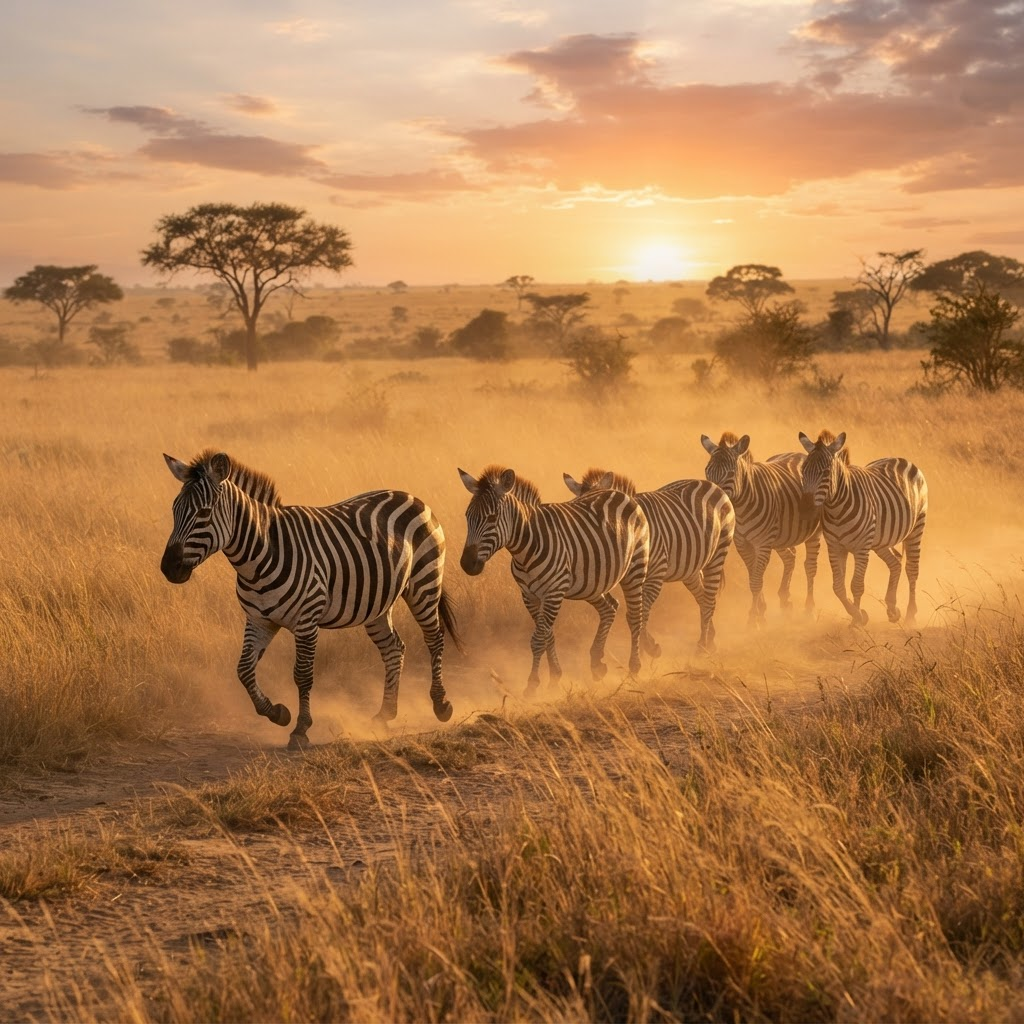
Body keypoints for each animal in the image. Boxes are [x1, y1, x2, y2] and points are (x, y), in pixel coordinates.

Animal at [161, 449, 461, 749]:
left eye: (204, 513)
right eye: (174, 510)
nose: (168, 568)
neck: (260, 556)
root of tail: (411, 496)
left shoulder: (307, 620)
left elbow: (302, 674)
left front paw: (300, 728)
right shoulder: (259, 619)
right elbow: (244, 670)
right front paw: (277, 713)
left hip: (424, 583)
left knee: (434, 638)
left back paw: (441, 704)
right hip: (377, 604)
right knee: (394, 648)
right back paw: (385, 714)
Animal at [458, 465, 649, 694]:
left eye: (492, 518)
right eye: (467, 516)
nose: (467, 564)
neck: (526, 549)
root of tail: (618, 493)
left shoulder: (553, 592)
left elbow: (538, 639)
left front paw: (532, 685)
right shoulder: (529, 596)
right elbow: (547, 635)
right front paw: (555, 677)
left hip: (634, 568)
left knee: (635, 616)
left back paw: (634, 669)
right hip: (591, 583)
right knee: (610, 608)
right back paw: (597, 664)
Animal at [563, 469, 734, 653]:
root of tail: (709, 483)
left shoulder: (655, 574)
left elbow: (642, 612)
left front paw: (648, 647)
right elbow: (634, 612)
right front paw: (648, 646)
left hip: (718, 552)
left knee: (709, 599)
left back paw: (702, 646)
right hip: (690, 567)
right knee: (702, 597)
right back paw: (710, 638)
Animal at [701, 432, 822, 626]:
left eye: (731, 473)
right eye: (707, 471)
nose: (712, 501)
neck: (742, 510)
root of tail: (800, 454)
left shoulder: (763, 544)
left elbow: (757, 580)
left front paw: (753, 619)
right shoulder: (742, 544)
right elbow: (753, 577)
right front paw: (761, 611)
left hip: (813, 532)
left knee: (810, 566)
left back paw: (809, 609)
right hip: (782, 535)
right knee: (790, 557)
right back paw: (785, 598)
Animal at [797, 430, 928, 626]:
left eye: (826, 472)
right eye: (803, 471)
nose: (805, 509)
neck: (836, 510)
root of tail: (900, 458)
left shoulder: (861, 549)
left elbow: (856, 585)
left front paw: (857, 618)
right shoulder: (835, 547)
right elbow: (838, 586)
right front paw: (856, 613)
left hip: (916, 527)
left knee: (912, 570)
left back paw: (911, 615)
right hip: (880, 540)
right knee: (896, 561)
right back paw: (892, 609)